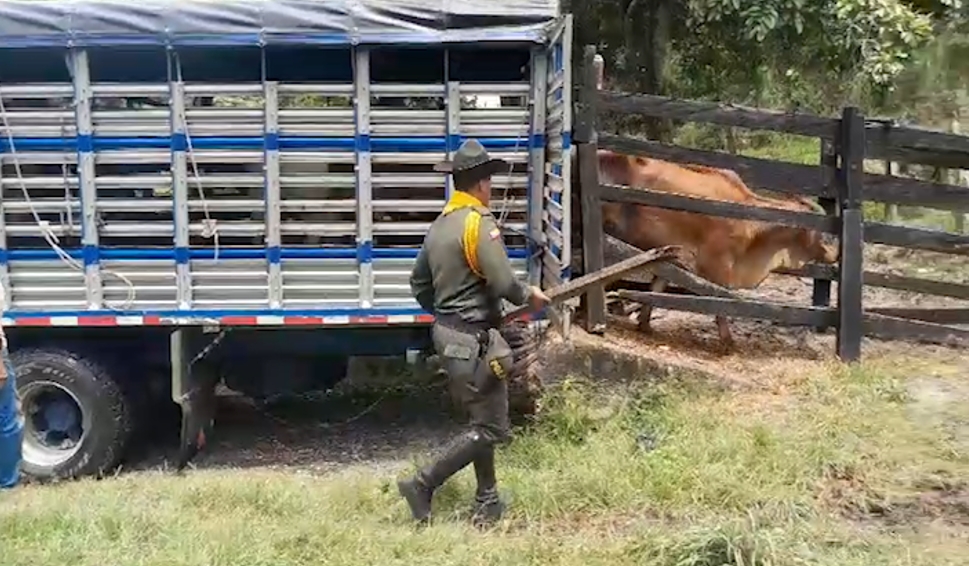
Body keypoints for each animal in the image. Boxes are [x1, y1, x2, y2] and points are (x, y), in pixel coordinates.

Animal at [592, 151, 836, 346]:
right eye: (817, 231)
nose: (833, 252)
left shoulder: (672, 256)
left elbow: (655, 290)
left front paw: (644, 324)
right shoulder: (716, 264)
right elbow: (719, 299)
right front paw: (727, 340)